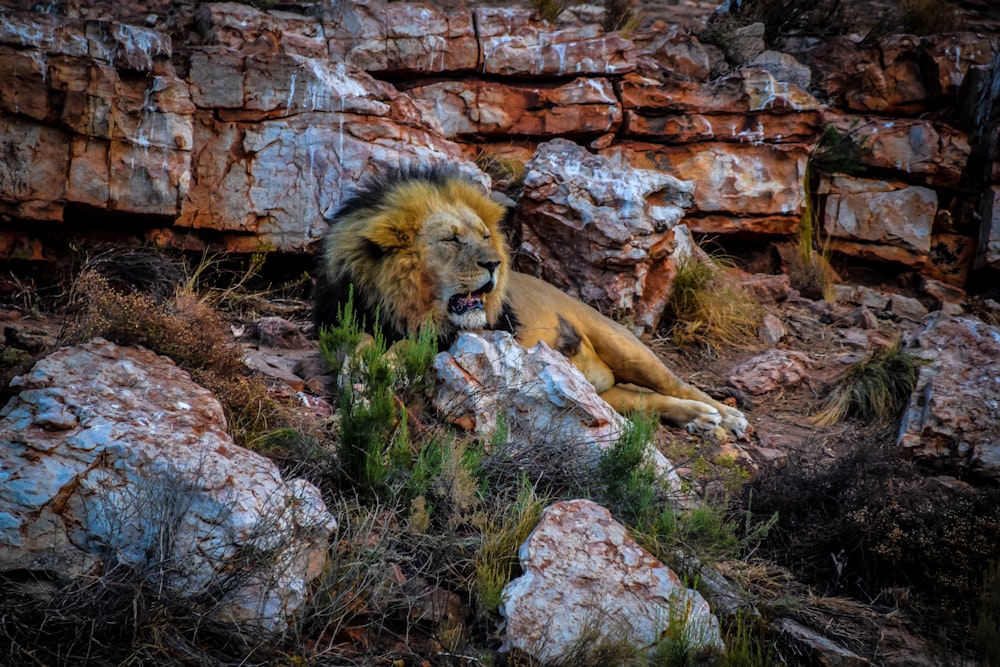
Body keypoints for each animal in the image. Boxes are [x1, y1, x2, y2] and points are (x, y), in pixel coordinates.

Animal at [316, 168, 748, 438]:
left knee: (678, 384)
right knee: (644, 400)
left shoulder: (474, 335)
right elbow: (358, 349)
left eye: (484, 236)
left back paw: (723, 416)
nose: (494, 263)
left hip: (624, 344)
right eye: (451, 240)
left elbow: (410, 346)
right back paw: (699, 420)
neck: (399, 303)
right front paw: (361, 377)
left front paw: (388, 368)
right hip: (602, 394)